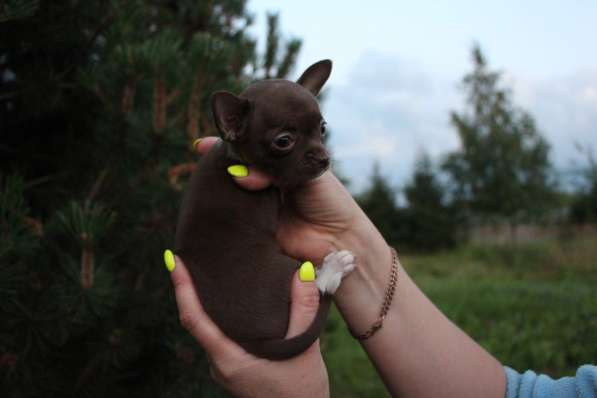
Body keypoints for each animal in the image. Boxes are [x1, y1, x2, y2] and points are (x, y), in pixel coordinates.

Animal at [176, 59, 354, 360]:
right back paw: (333, 269)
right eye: (283, 141)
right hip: (293, 270)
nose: (323, 158)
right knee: (319, 287)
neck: (233, 155)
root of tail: (253, 340)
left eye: (322, 128)